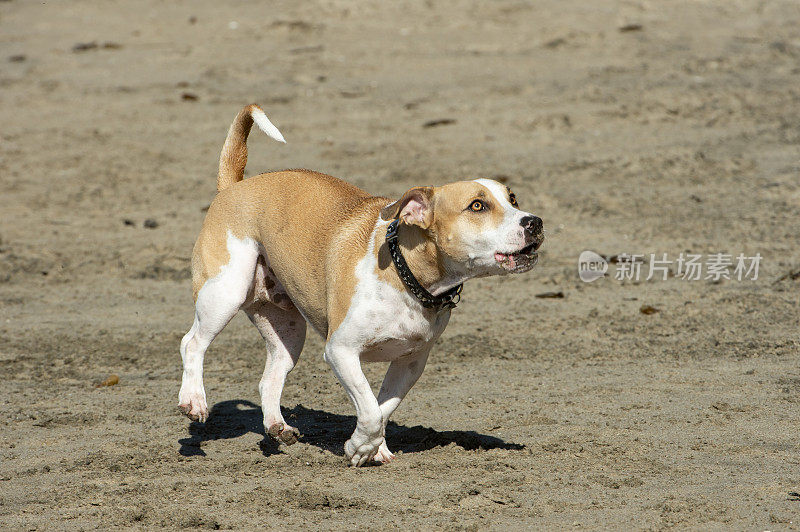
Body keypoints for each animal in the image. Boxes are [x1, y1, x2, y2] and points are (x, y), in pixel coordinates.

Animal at [179, 104, 544, 466]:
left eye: (513, 199)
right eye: (477, 206)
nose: (535, 222)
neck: (405, 276)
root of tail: (234, 186)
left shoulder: (411, 363)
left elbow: (382, 409)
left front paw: (373, 448)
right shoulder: (340, 351)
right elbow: (368, 409)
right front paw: (359, 447)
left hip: (287, 330)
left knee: (269, 377)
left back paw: (278, 426)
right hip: (224, 293)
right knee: (192, 343)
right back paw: (194, 401)